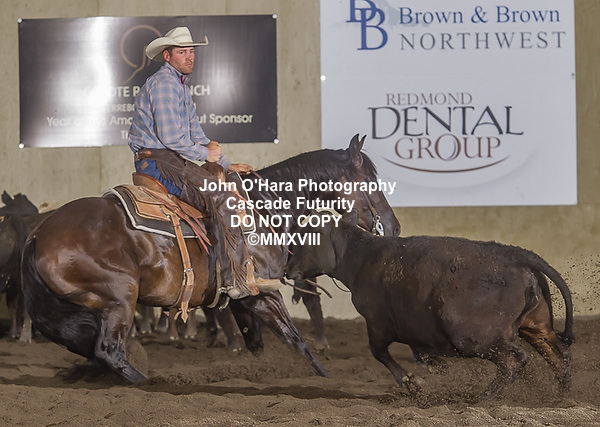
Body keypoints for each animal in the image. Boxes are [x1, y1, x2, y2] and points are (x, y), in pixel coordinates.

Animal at [21, 134, 400, 383]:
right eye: (370, 180)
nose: (394, 226)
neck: (262, 208)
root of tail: (38, 233)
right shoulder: (263, 292)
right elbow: (293, 338)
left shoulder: (247, 299)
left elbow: (273, 343)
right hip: (120, 296)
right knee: (109, 350)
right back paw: (151, 383)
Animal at [285, 211, 574, 399]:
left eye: (306, 239)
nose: (288, 269)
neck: (363, 258)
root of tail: (517, 256)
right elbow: (421, 354)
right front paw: (431, 369)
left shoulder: (377, 322)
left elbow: (379, 352)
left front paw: (411, 382)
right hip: (536, 328)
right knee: (558, 358)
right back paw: (562, 397)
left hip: (473, 338)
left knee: (515, 359)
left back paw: (486, 397)